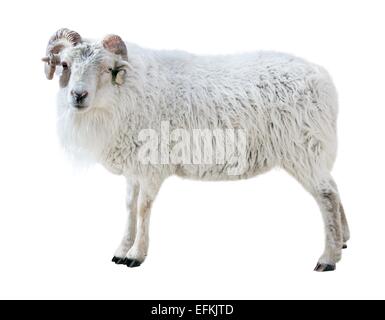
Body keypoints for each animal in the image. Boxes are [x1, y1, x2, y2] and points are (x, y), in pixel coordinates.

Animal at [41, 28, 348, 272]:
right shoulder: (133, 167)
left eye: (106, 68)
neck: (126, 91)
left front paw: (136, 255)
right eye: (65, 64)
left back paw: (328, 258)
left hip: (304, 148)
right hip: (315, 150)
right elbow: (129, 207)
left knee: (327, 196)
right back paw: (343, 241)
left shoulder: (152, 165)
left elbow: (143, 208)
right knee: (334, 188)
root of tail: (324, 79)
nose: (78, 95)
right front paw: (121, 250)